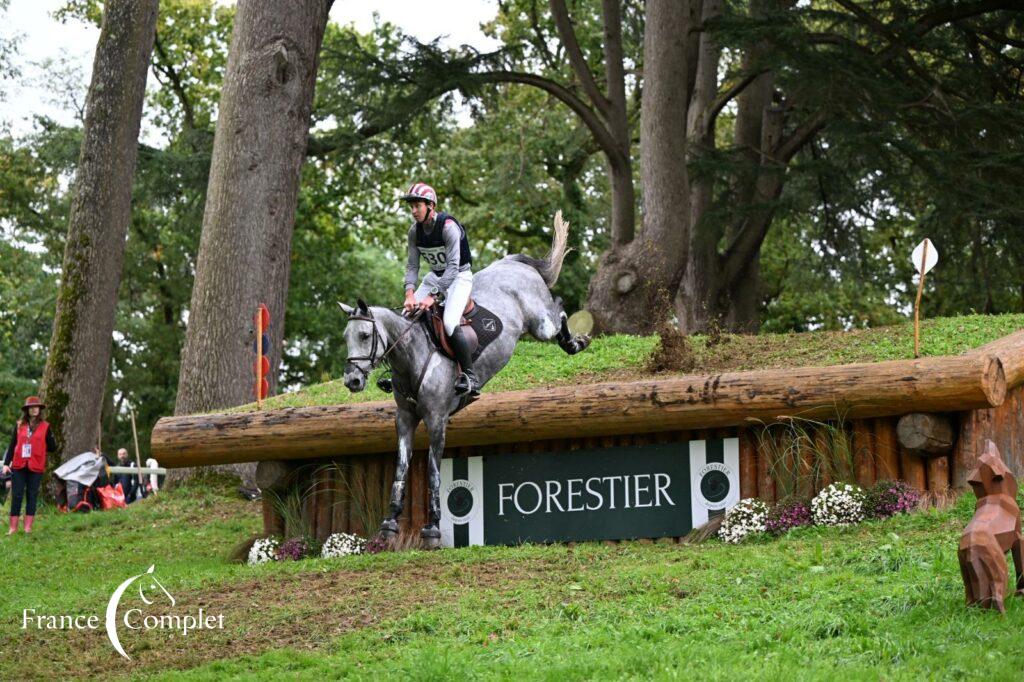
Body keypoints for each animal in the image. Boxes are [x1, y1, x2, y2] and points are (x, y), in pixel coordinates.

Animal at [339, 209, 589, 544]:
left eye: (365, 336)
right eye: (346, 337)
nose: (352, 381)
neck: (413, 356)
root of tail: (512, 263)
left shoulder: (437, 419)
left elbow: (433, 471)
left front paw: (432, 528)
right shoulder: (404, 419)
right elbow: (400, 469)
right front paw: (390, 522)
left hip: (540, 324)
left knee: (559, 311)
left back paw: (575, 342)